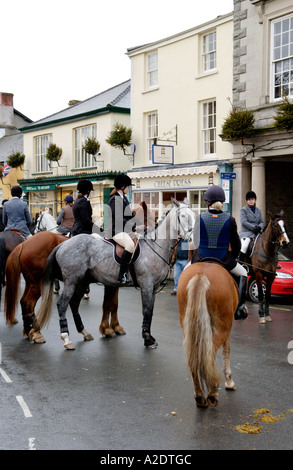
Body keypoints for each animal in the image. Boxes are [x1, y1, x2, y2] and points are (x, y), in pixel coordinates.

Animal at [36, 198, 195, 348]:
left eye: (193, 215)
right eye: (183, 216)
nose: (192, 239)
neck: (155, 246)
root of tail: (63, 244)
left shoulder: (154, 287)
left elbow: (150, 311)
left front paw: (149, 337)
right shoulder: (146, 285)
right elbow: (146, 311)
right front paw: (147, 339)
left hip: (81, 281)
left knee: (74, 303)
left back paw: (84, 332)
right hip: (71, 281)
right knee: (62, 304)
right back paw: (66, 338)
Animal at [176, 260, 237, 408]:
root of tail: (201, 275)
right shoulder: (227, 328)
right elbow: (226, 350)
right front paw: (229, 381)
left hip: (188, 328)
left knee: (193, 359)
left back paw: (199, 396)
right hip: (221, 327)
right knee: (209, 356)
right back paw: (212, 393)